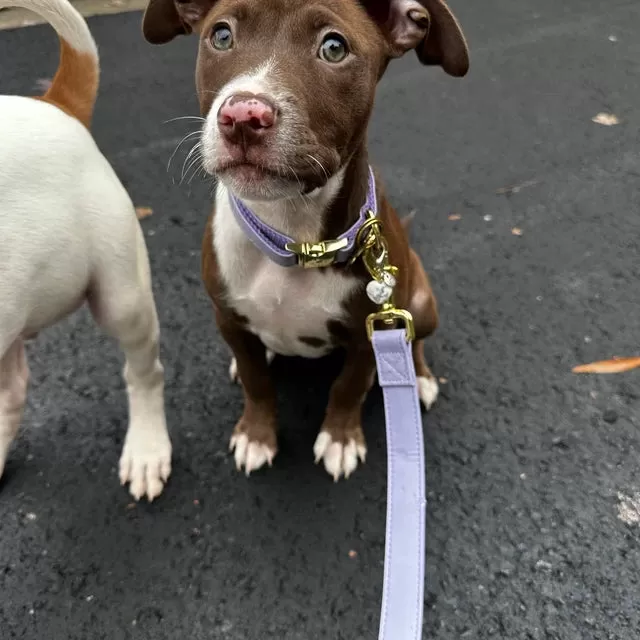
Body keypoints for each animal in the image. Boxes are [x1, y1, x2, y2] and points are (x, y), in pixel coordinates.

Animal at [142, 0, 468, 480]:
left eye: (334, 47)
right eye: (221, 35)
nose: (243, 117)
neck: (294, 237)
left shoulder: (370, 331)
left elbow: (349, 386)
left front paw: (340, 439)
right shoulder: (226, 315)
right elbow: (257, 383)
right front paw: (256, 434)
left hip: (419, 302)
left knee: (415, 339)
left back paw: (422, 377)